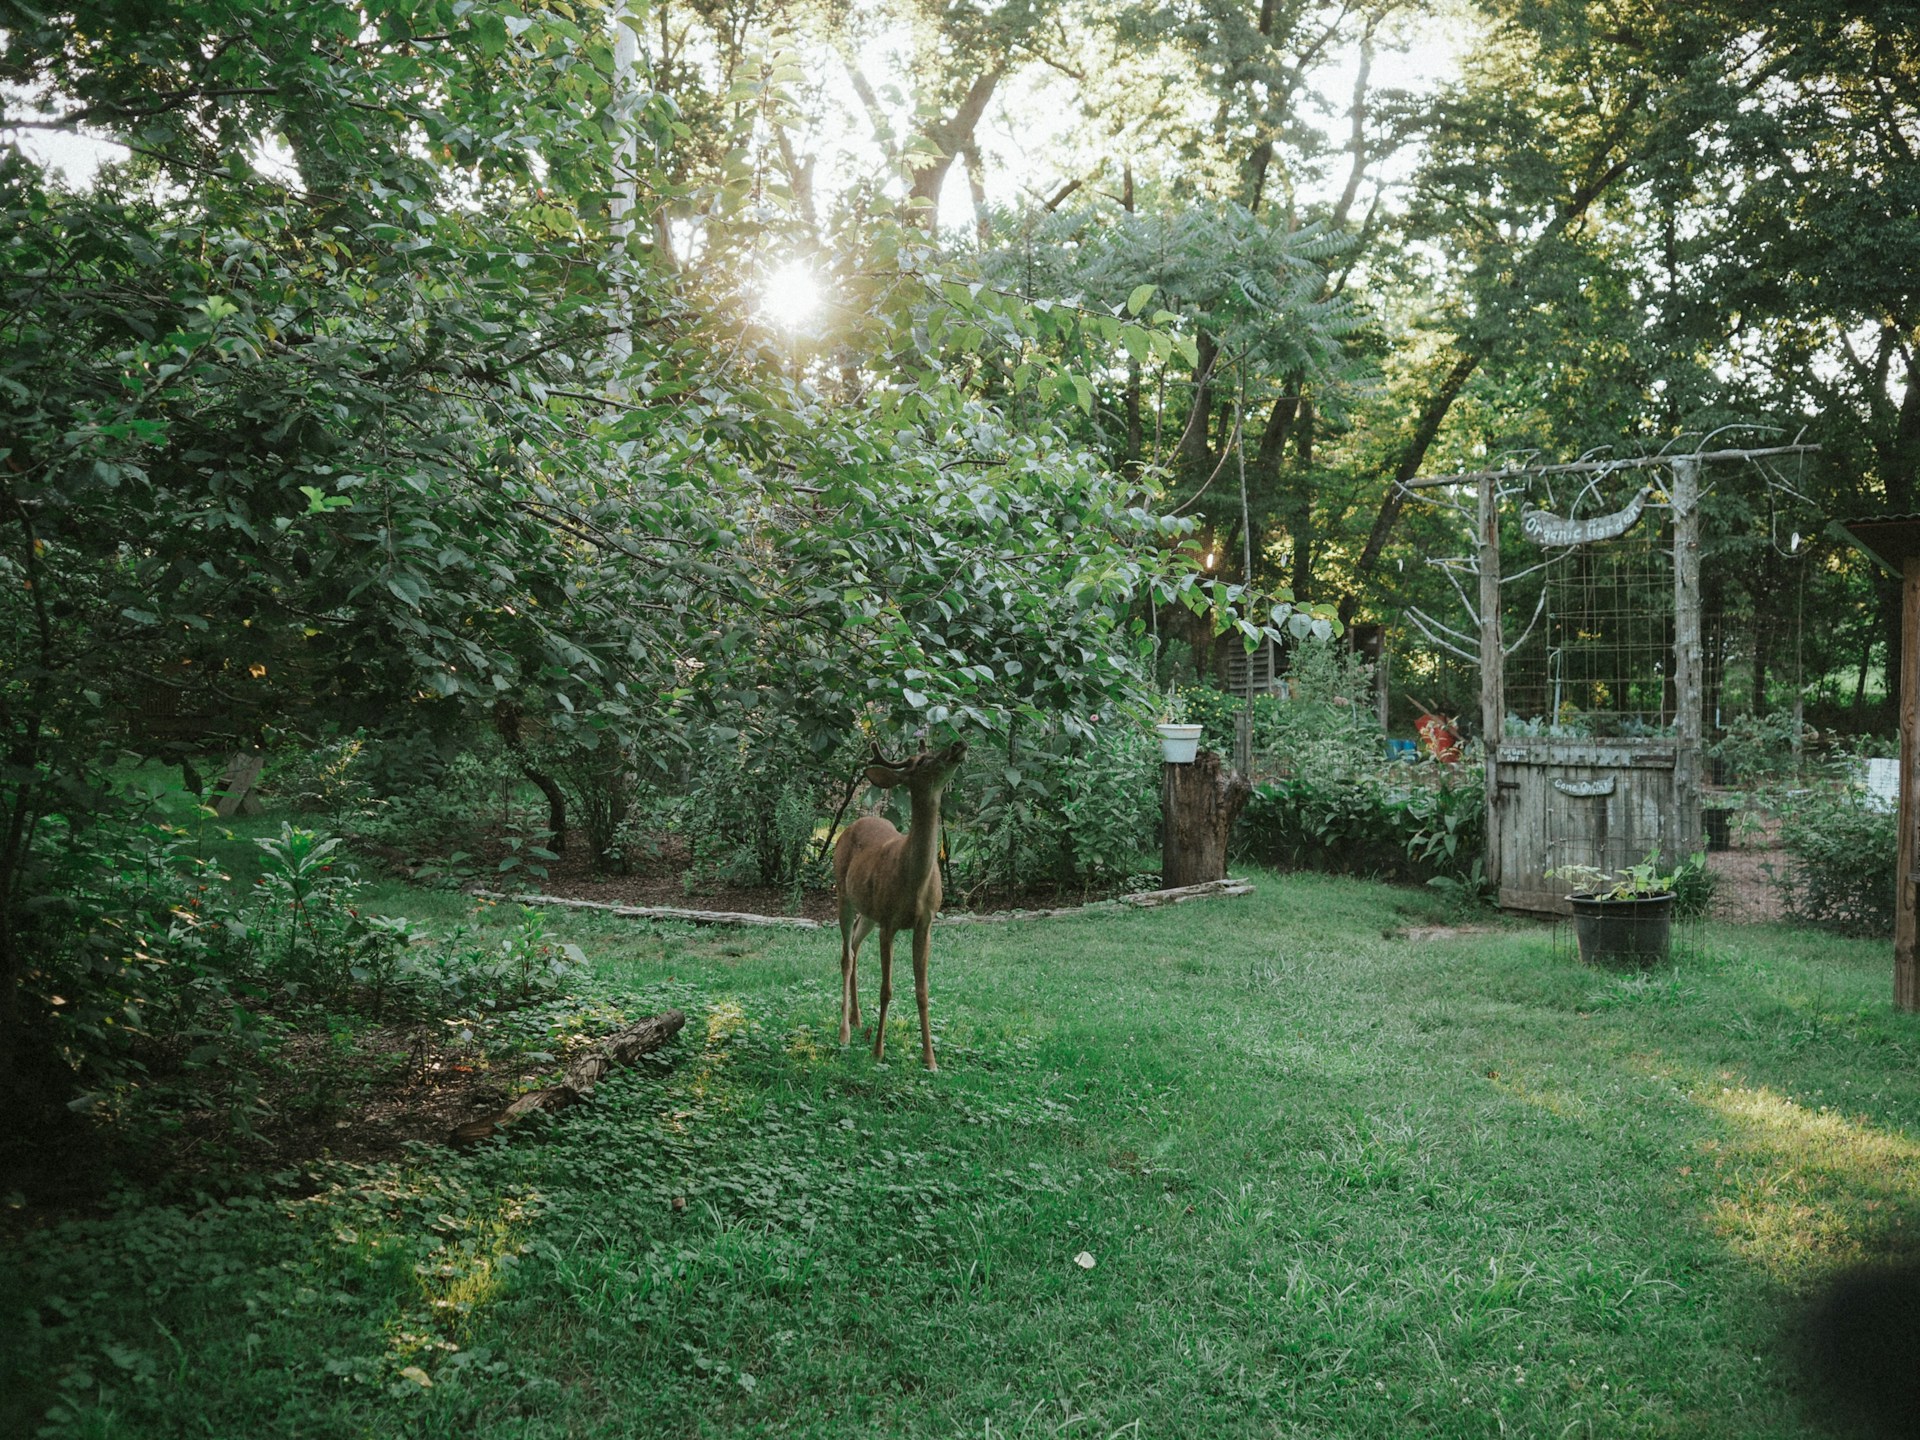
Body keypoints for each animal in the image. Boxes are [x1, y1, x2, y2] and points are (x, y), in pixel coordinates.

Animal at [833, 738, 967, 1071]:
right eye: (922, 762)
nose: (958, 744)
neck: (914, 881)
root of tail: (855, 822)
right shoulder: (890, 922)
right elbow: (886, 989)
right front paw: (878, 1052)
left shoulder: (926, 923)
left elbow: (922, 991)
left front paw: (930, 1059)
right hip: (843, 893)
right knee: (845, 955)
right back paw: (844, 1032)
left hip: (869, 911)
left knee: (855, 946)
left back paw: (857, 1019)